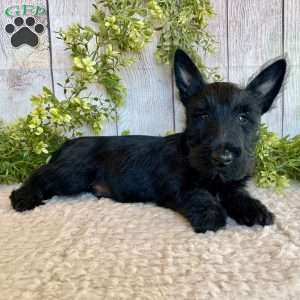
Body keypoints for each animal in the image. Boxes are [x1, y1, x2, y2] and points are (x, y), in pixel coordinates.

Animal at [9, 49, 286, 233]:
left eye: (243, 117)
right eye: (202, 115)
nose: (222, 158)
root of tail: (68, 143)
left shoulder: (231, 182)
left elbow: (236, 194)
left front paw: (254, 210)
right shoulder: (177, 186)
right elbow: (198, 194)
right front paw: (211, 214)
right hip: (71, 174)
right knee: (41, 174)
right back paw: (23, 197)